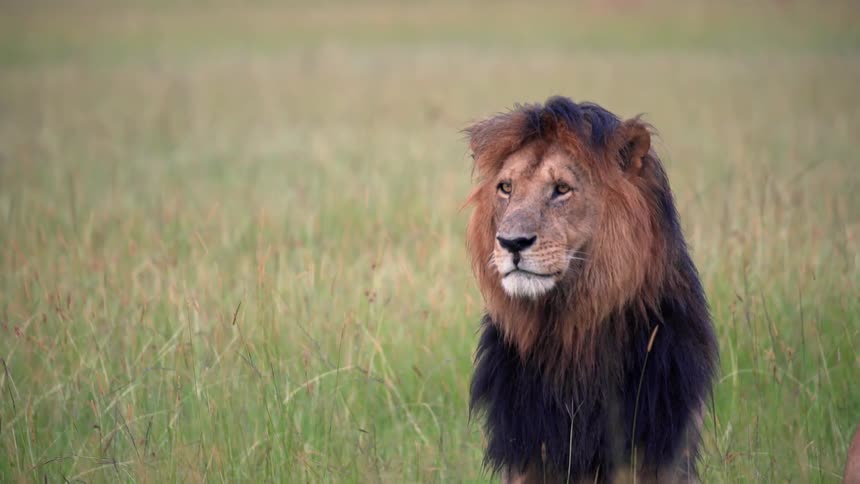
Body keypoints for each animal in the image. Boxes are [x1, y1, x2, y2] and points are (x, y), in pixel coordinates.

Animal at [464, 96, 718, 483]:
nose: (511, 242)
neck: (571, 331)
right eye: (506, 188)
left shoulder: (655, 447)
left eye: (561, 189)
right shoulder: (526, 453)